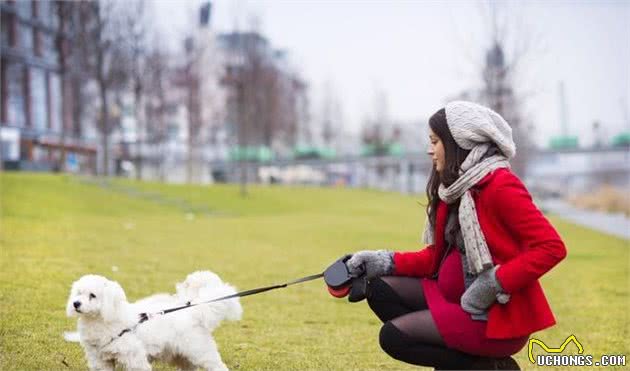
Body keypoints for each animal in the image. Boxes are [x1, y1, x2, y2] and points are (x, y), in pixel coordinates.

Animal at [66, 270, 243, 371]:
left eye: (92, 295)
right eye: (78, 293)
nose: (76, 304)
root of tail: (192, 308)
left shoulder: (135, 359)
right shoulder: (100, 361)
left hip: (200, 351)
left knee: (218, 366)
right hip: (182, 355)